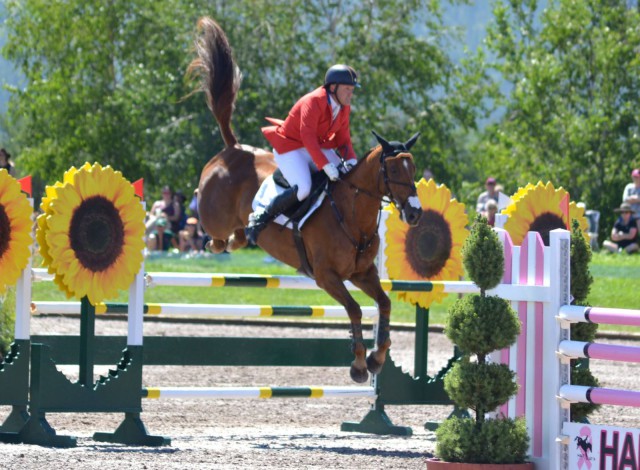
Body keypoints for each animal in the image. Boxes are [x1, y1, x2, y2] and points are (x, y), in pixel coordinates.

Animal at [188, 16, 422, 384]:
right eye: (394, 170)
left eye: (413, 169)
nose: (414, 213)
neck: (351, 216)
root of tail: (233, 150)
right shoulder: (326, 276)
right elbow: (355, 309)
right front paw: (359, 365)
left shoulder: (363, 272)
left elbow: (383, 304)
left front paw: (377, 358)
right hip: (215, 217)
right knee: (214, 234)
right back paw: (223, 238)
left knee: (236, 235)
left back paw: (246, 234)